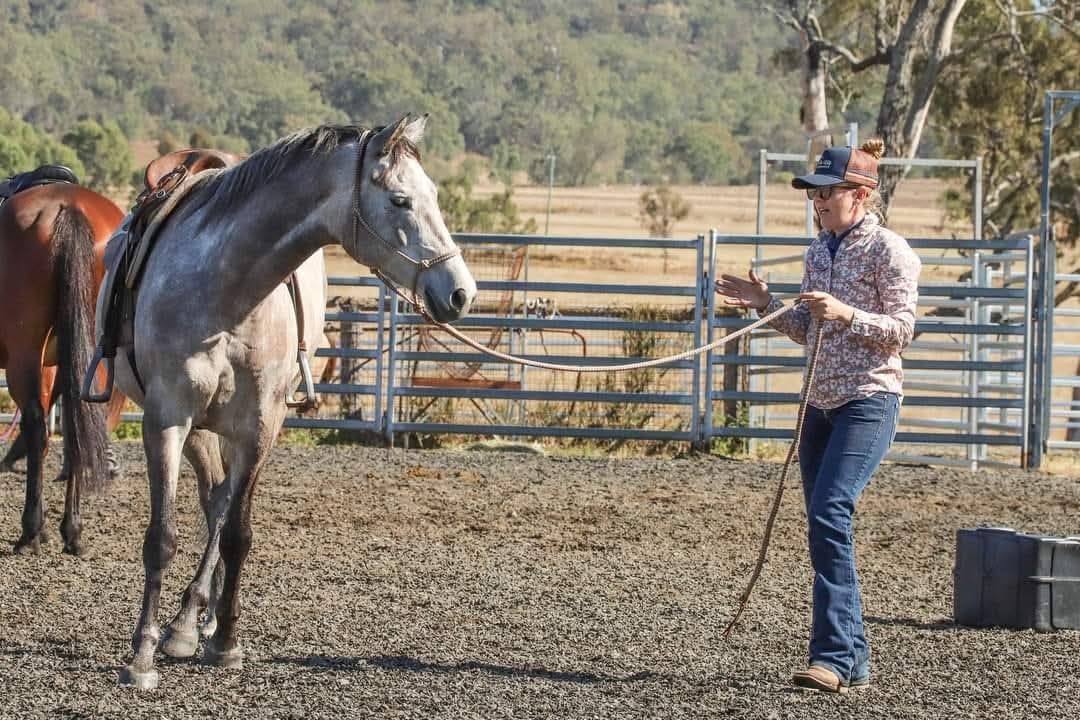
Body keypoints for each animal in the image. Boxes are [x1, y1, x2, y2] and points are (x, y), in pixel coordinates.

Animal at [0, 177, 126, 557]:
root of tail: (70, 208)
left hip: (25, 351)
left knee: (37, 426)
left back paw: (31, 532)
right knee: (76, 430)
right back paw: (72, 531)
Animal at [109, 115, 477, 690]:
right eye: (400, 200)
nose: (461, 292)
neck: (229, 290)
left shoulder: (260, 427)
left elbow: (238, 535)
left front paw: (226, 641)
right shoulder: (167, 420)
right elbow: (162, 536)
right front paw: (142, 654)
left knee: (219, 507)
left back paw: (195, 621)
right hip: (199, 430)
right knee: (211, 498)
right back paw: (184, 624)